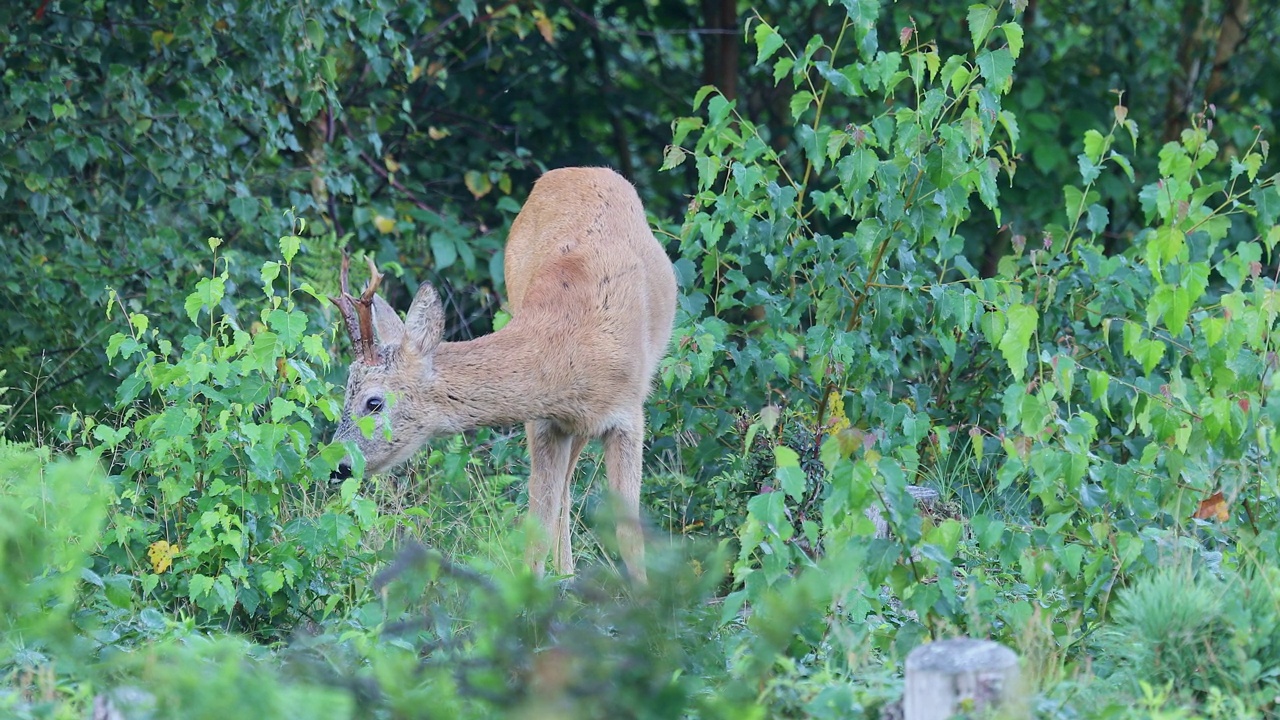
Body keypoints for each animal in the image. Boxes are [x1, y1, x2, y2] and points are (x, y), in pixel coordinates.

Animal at [327, 165, 680, 579]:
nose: (337, 466)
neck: (575, 346)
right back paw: (567, 573)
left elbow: (629, 537)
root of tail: (578, 169)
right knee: (563, 491)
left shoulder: (629, 417)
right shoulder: (545, 422)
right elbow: (537, 531)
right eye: (345, 392)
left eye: (373, 402)